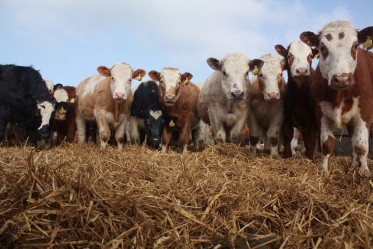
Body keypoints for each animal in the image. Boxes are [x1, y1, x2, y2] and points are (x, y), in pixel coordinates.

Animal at [298, 20, 372, 177]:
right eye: (322, 47)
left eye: (355, 46)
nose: (341, 78)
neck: (339, 94)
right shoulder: (320, 111)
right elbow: (327, 144)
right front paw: (324, 171)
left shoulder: (365, 109)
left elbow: (361, 145)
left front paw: (365, 172)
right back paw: (353, 165)